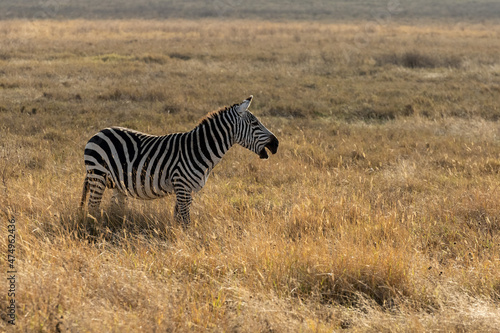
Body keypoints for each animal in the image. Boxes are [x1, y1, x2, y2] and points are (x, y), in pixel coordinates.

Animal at [80, 95, 280, 226]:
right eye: (254, 124)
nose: (276, 144)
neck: (199, 150)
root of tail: (98, 133)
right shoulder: (182, 186)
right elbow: (185, 220)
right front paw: (187, 243)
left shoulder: (185, 189)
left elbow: (178, 218)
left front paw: (177, 238)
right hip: (98, 176)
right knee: (92, 208)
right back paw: (94, 228)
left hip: (117, 184)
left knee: (114, 208)